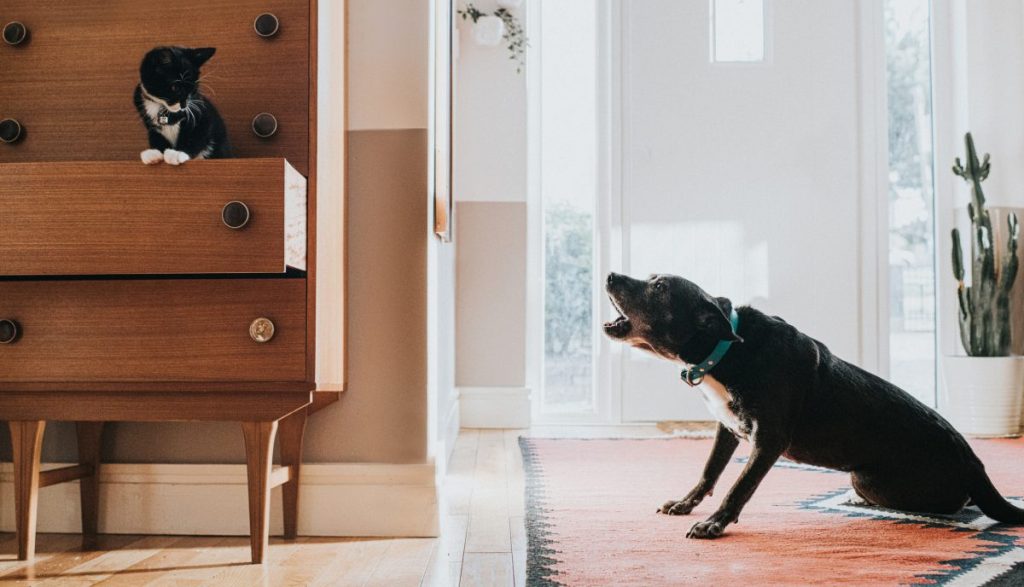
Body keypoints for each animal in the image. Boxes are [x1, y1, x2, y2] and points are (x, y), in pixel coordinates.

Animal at [602, 272, 1019, 536]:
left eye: (659, 286)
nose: (609, 275)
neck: (727, 349)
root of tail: (974, 463)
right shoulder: (727, 429)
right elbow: (709, 472)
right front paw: (686, 504)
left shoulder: (768, 441)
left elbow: (739, 485)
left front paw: (714, 523)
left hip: (867, 478)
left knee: (955, 505)